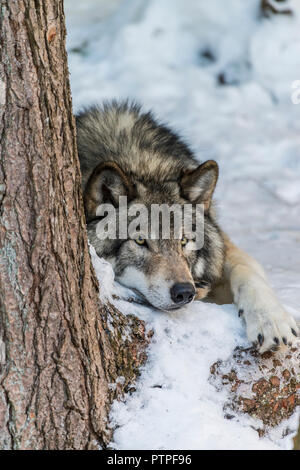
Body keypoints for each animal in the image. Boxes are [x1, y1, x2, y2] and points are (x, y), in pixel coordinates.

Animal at [77, 103, 298, 352]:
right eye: (140, 240)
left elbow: (246, 269)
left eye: (184, 241)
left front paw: (271, 321)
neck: (143, 167)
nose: (184, 291)